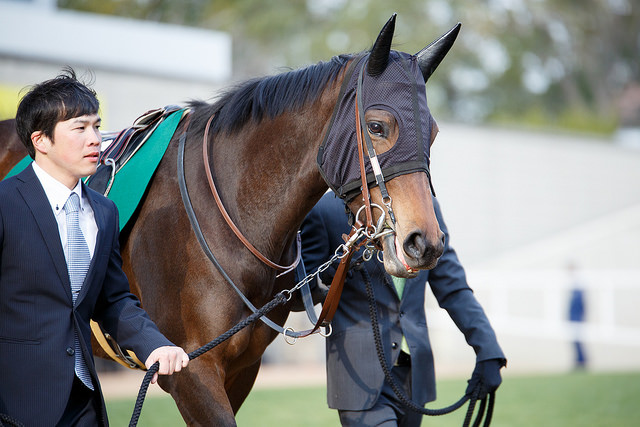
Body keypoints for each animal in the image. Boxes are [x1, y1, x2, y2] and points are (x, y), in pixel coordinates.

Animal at [0, 15, 460, 426]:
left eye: (434, 133)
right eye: (377, 126)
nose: (424, 242)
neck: (228, 212)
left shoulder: (241, 369)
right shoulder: (189, 370)